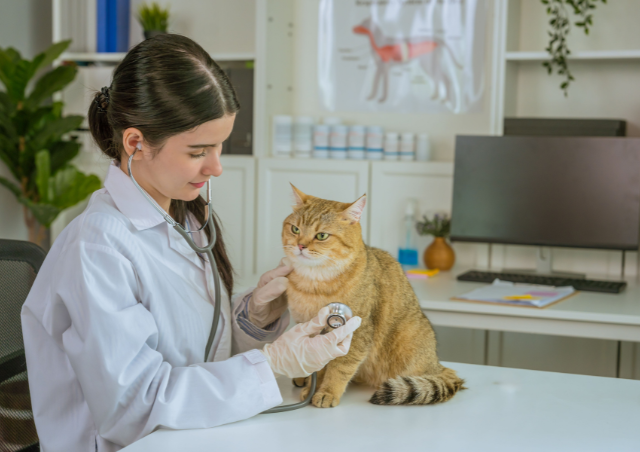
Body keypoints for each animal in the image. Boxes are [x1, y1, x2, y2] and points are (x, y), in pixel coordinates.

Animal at [282, 185, 462, 408]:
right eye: (295, 229)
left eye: (321, 235)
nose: (300, 245)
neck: (313, 284)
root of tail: (437, 364)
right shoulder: (310, 331)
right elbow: (318, 364)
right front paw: (312, 387)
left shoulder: (358, 333)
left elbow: (340, 367)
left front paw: (327, 391)